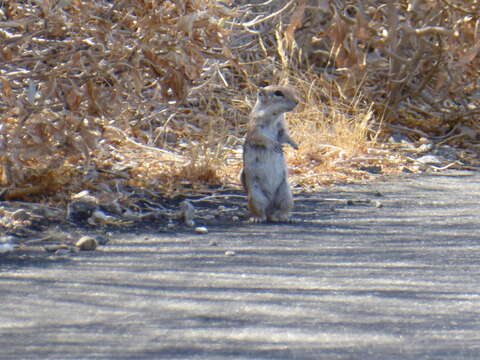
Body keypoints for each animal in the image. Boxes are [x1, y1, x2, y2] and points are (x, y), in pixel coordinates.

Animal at [242, 86, 298, 224]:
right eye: (278, 93)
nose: (297, 101)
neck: (274, 116)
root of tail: (270, 209)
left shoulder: (281, 129)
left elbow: (285, 136)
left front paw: (295, 145)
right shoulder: (255, 128)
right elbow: (261, 138)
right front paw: (275, 145)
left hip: (286, 195)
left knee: (281, 210)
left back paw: (283, 217)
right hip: (256, 197)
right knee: (259, 211)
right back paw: (257, 218)